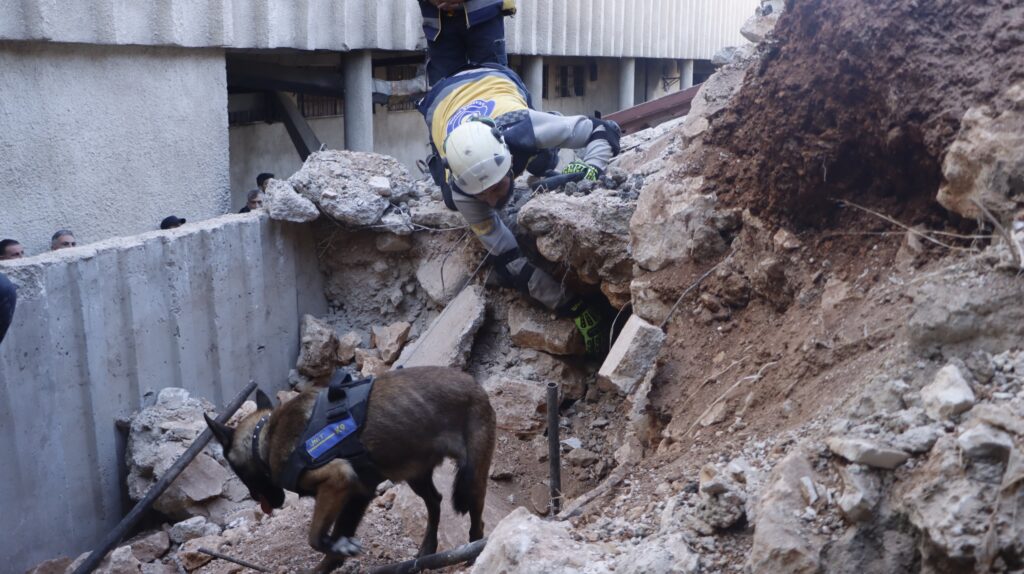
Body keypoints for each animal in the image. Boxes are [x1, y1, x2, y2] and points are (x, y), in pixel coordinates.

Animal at [202, 364, 495, 568]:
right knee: (434, 501)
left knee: (476, 520)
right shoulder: (357, 494)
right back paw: (427, 549)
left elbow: (315, 538)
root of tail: (476, 386)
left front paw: (338, 550)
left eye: (237, 470)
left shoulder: (337, 480)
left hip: (472, 477)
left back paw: (472, 554)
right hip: (416, 473)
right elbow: (333, 542)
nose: (255, 497)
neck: (264, 439)